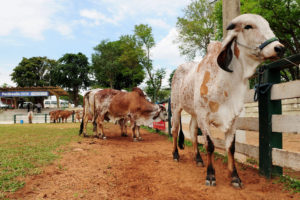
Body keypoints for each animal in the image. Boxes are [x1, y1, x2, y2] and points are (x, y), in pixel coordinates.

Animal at [170, 14, 284, 188]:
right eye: (248, 26)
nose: (279, 48)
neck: (226, 83)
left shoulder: (232, 118)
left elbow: (231, 147)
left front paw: (235, 177)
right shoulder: (204, 117)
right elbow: (210, 145)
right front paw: (211, 175)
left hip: (194, 115)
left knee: (193, 133)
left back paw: (198, 159)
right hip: (176, 108)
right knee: (175, 131)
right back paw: (176, 155)